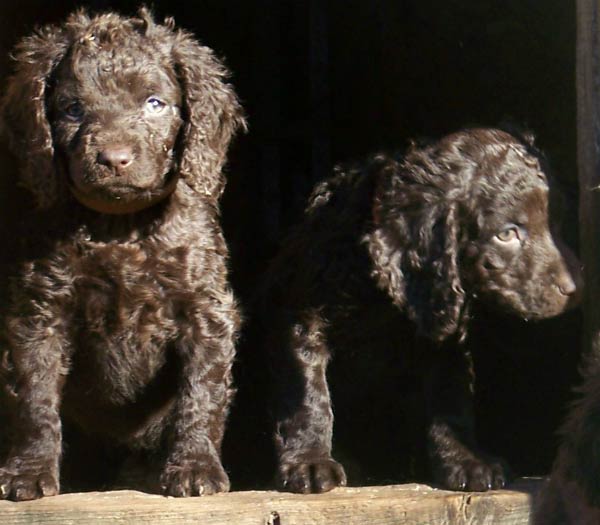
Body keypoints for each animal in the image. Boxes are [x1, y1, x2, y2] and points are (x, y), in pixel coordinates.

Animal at [0, 8, 245, 500]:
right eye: (73, 109)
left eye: (154, 103)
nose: (114, 158)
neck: (120, 228)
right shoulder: (39, 309)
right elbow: (34, 396)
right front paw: (28, 472)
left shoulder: (206, 309)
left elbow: (201, 393)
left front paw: (195, 468)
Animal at [268, 127, 580, 492]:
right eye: (507, 234)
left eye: (556, 223)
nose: (576, 288)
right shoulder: (304, 321)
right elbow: (310, 397)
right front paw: (310, 462)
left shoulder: (444, 330)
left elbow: (450, 399)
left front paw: (466, 460)